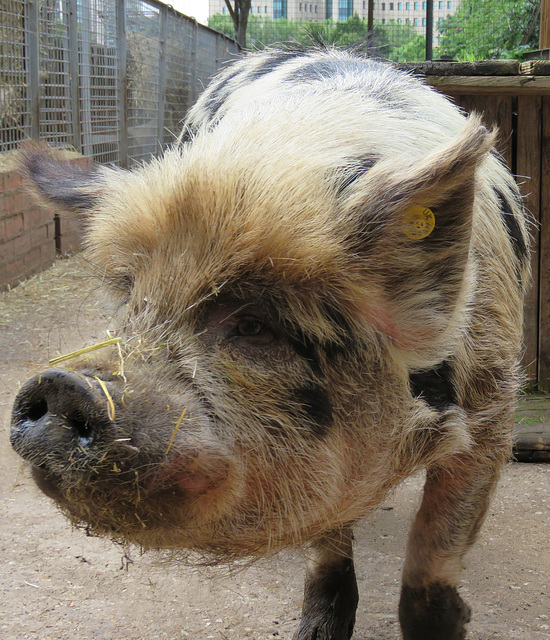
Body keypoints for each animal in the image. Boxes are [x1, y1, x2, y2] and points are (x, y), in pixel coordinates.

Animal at [10, 46, 532, 640]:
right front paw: (315, 631)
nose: (62, 383)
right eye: (129, 294)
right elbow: (327, 547)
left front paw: (450, 620)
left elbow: (434, 556)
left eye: (256, 325)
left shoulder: (493, 403)